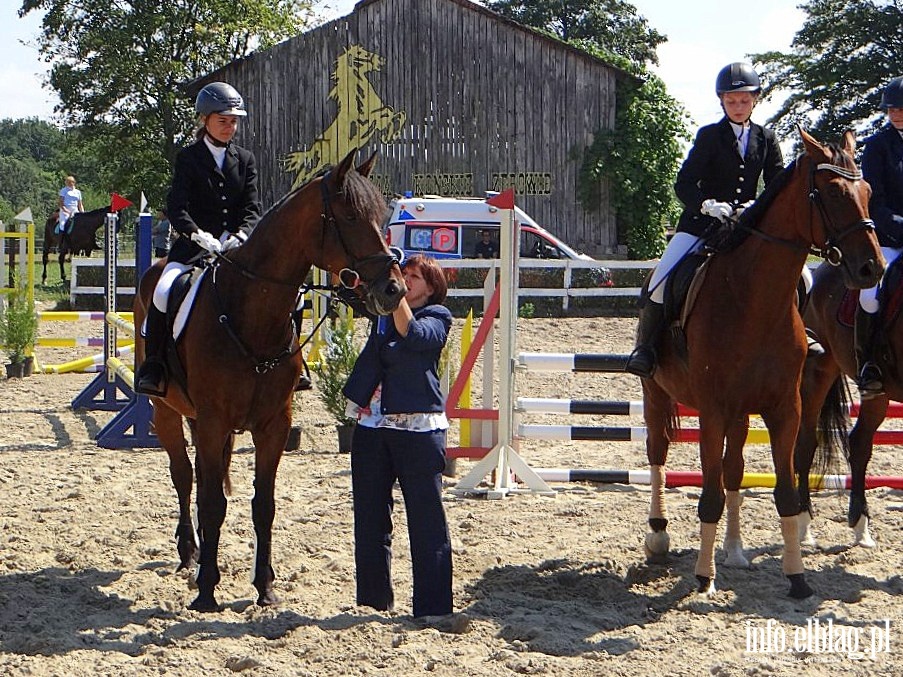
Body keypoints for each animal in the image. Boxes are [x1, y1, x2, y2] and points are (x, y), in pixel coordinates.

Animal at [644, 129, 884, 600]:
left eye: (867, 192)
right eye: (832, 192)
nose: (872, 269)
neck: (752, 298)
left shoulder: (783, 410)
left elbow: (783, 492)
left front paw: (797, 578)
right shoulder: (713, 411)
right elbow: (710, 496)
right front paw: (704, 579)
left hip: (742, 414)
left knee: (734, 471)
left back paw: (734, 550)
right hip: (656, 393)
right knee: (657, 452)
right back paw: (659, 534)